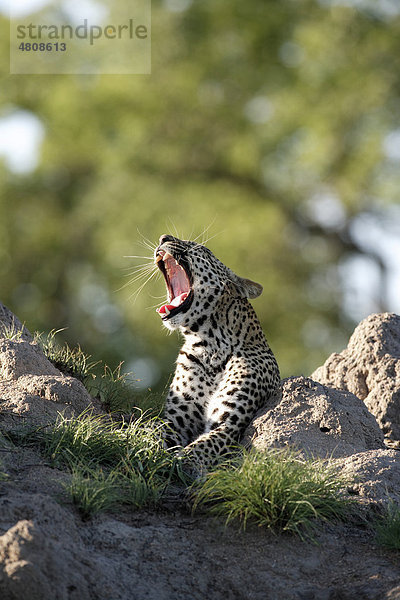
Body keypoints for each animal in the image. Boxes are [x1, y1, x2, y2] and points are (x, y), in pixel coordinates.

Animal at [154, 232, 282, 472]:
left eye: (199, 248)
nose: (163, 237)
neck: (209, 346)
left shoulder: (227, 424)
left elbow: (200, 447)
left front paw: (182, 465)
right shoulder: (177, 420)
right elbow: (155, 433)